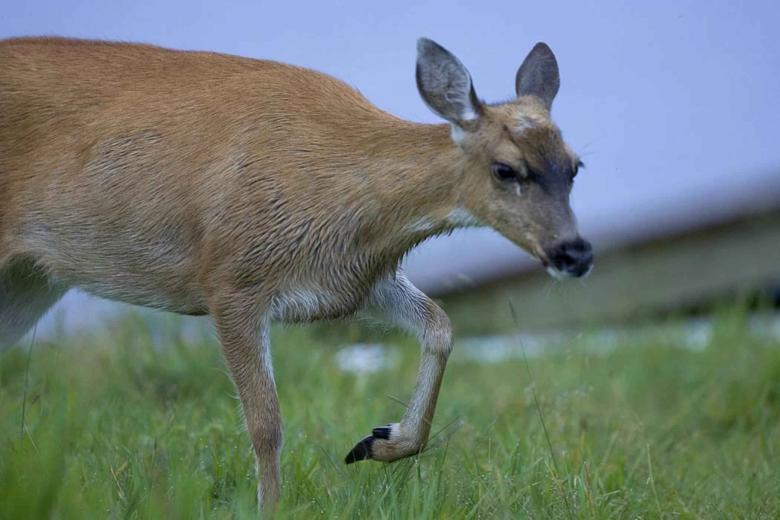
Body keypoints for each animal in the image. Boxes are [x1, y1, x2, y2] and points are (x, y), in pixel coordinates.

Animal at [0, 36, 593, 507]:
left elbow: (441, 326)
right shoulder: (231, 278)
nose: (576, 252)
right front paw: (272, 506)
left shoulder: (356, 282)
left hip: (30, 280)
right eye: (505, 169)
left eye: (575, 165)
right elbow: (267, 424)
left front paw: (378, 441)